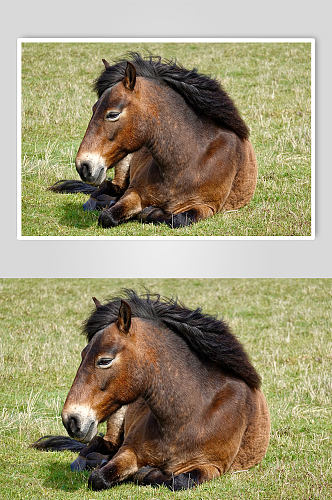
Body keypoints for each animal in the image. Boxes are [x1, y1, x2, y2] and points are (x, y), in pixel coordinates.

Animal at [31, 290, 270, 492]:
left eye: (104, 360)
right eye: (82, 354)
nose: (71, 420)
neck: (193, 415)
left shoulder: (212, 466)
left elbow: (179, 480)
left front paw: (147, 472)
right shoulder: (129, 450)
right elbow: (99, 477)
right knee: (95, 445)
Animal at [52, 52, 258, 229]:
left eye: (112, 114)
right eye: (94, 109)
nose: (83, 166)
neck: (190, 161)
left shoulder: (207, 207)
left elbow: (178, 219)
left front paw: (151, 212)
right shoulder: (134, 192)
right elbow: (108, 216)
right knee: (104, 189)